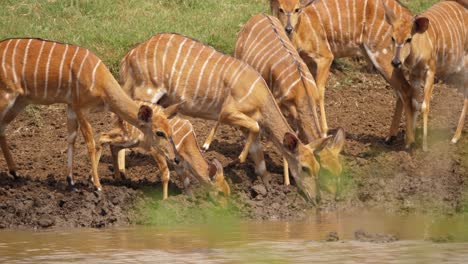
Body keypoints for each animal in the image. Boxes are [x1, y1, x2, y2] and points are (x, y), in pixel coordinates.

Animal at [0, 37, 176, 190]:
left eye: (170, 131)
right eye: (159, 132)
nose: (174, 158)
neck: (100, 81)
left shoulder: (71, 107)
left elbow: (71, 138)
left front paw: (71, 181)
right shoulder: (81, 108)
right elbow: (90, 143)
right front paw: (97, 185)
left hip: (20, 101)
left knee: (2, 128)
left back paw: (15, 173)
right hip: (7, 96)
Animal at [96, 100, 231, 199]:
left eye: (228, 192)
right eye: (220, 192)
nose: (226, 209)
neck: (186, 141)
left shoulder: (179, 163)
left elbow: (186, 181)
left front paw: (191, 200)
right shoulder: (157, 152)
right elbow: (166, 175)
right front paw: (165, 201)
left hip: (132, 142)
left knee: (114, 146)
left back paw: (119, 179)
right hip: (128, 137)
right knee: (102, 137)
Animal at [119, 33, 342, 202]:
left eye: (317, 167)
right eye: (305, 168)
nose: (317, 198)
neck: (261, 95)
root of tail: (129, 56)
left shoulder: (247, 126)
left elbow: (261, 163)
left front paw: (267, 193)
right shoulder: (228, 113)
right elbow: (254, 129)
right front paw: (238, 159)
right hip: (146, 94)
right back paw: (122, 173)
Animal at [270, 0, 420, 148]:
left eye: (297, 9)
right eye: (280, 9)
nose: (288, 28)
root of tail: (407, 14)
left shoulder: (325, 57)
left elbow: (319, 92)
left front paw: (324, 132)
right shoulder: (307, 63)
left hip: (383, 56)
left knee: (405, 89)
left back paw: (408, 141)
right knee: (400, 91)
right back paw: (390, 137)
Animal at [384, 0, 468, 151]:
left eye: (408, 39)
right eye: (392, 37)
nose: (395, 62)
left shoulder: (430, 72)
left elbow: (425, 106)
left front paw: (424, 146)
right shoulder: (414, 74)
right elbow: (415, 103)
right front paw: (409, 141)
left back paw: (455, 138)